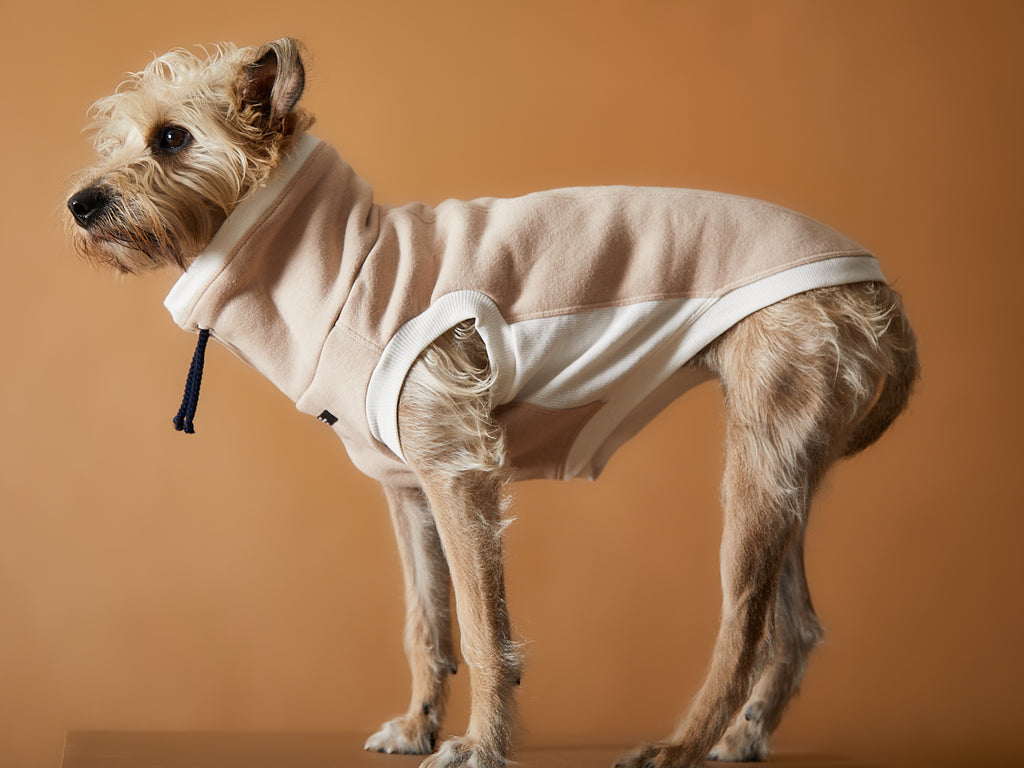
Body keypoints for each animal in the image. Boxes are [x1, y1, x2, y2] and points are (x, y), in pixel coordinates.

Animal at [66, 39, 921, 765]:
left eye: (171, 138)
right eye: (115, 141)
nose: (79, 204)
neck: (344, 264)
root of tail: (870, 282)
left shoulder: (458, 475)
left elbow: (481, 629)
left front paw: (480, 743)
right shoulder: (408, 489)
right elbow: (426, 621)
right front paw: (418, 725)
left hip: (756, 470)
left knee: (743, 627)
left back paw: (682, 743)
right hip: (788, 473)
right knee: (796, 625)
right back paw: (741, 736)